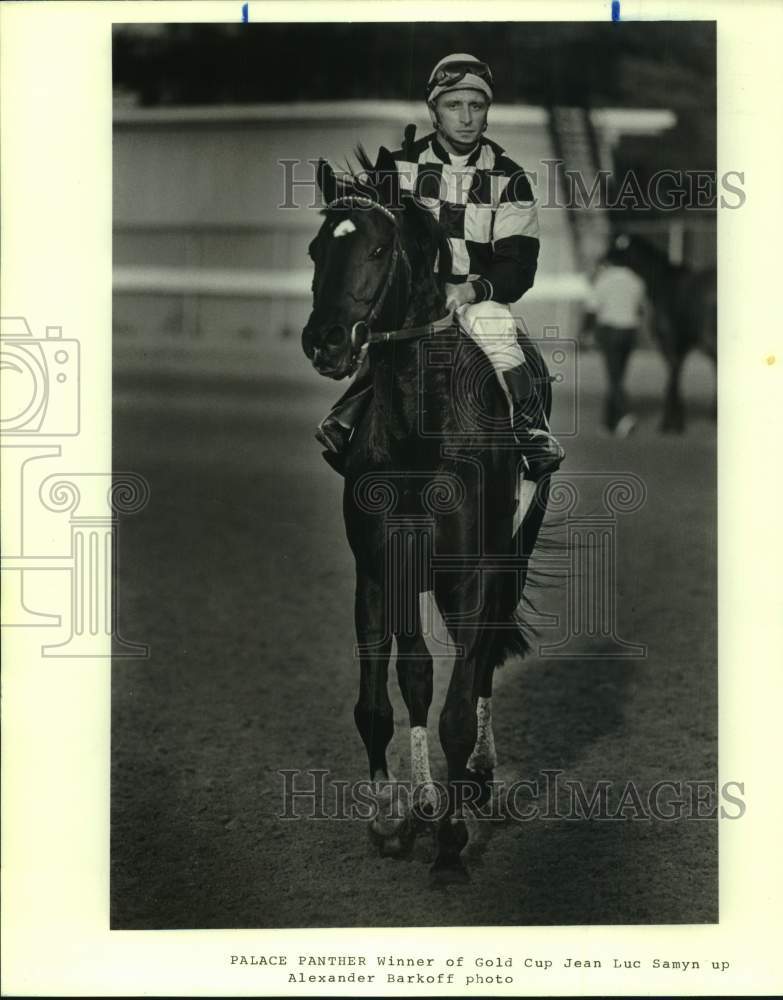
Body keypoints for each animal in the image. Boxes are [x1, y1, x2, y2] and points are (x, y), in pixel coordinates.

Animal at [302, 145, 556, 880]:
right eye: (315, 250)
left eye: (378, 248)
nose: (325, 341)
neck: (421, 432)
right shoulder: (378, 563)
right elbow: (383, 698)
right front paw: (394, 816)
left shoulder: (468, 569)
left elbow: (455, 710)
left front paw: (450, 836)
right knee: (420, 672)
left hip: (509, 547)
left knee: (484, 655)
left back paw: (479, 777)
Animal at [616, 232, 720, 432]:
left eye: (619, 246)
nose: (600, 259)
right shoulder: (682, 345)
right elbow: (676, 374)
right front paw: (676, 421)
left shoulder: (668, 341)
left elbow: (672, 377)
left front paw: (669, 424)